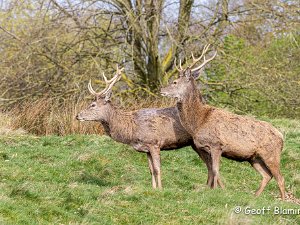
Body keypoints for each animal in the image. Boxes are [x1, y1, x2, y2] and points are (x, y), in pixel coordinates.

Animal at [76, 66, 224, 189]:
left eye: (93, 105)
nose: (77, 115)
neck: (132, 129)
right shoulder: (145, 148)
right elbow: (151, 170)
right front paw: (153, 188)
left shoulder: (154, 143)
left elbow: (158, 169)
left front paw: (160, 189)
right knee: (209, 165)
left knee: (211, 164)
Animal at [162, 44, 286, 199]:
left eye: (175, 82)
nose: (161, 89)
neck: (199, 121)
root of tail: (281, 137)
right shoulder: (206, 148)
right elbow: (210, 170)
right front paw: (211, 189)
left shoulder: (217, 144)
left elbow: (215, 170)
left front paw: (216, 191)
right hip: (254, 158)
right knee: (267, 175)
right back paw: (255, 196)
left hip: (272, 154)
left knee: (280, 178)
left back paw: (282, 200)